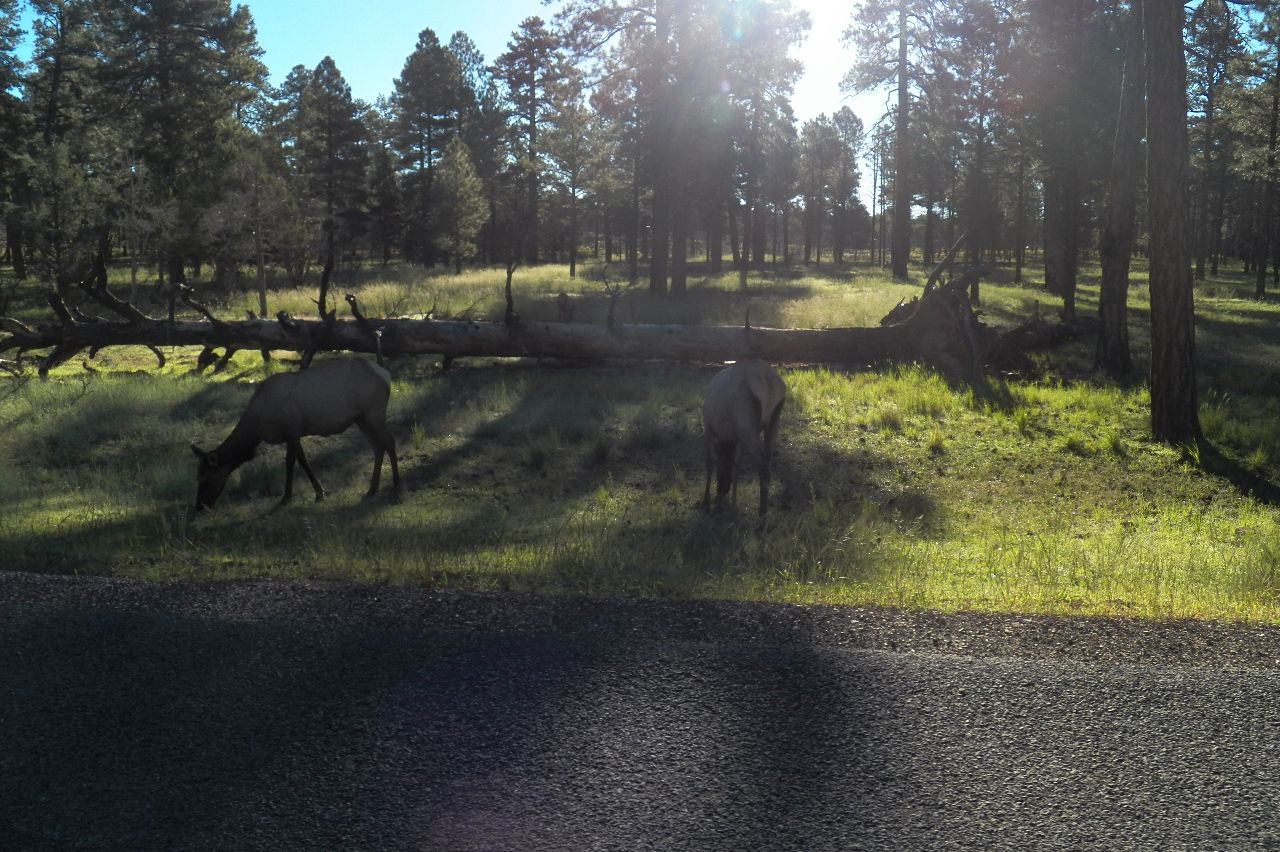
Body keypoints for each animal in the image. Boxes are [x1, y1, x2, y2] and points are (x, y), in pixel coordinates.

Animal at [189, 355, 396, 506]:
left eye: (204, 478)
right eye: (197, 476)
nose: (200, 506)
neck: (258, 428)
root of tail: (386, 375)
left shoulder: (291, 428)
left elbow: (289, 463)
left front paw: (287, 496)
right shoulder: (295, 433)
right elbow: (302, 460)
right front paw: (320, 492)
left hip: (374, 412)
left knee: (389, 441)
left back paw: (397, 485)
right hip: (362, 419)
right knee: (378, 447)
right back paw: (372, 489)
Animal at [706, 355, 783, 514]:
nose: (722, 490)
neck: (726, 438)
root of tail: (767, 379)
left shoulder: (708, 426)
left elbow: (710, 462)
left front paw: (706, 500)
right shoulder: (738, 437)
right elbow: (736, 467)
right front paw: (734, 505)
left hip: (747, 426)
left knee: (763, 466)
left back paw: (762, 513)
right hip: (773, 423)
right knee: (768, 462)